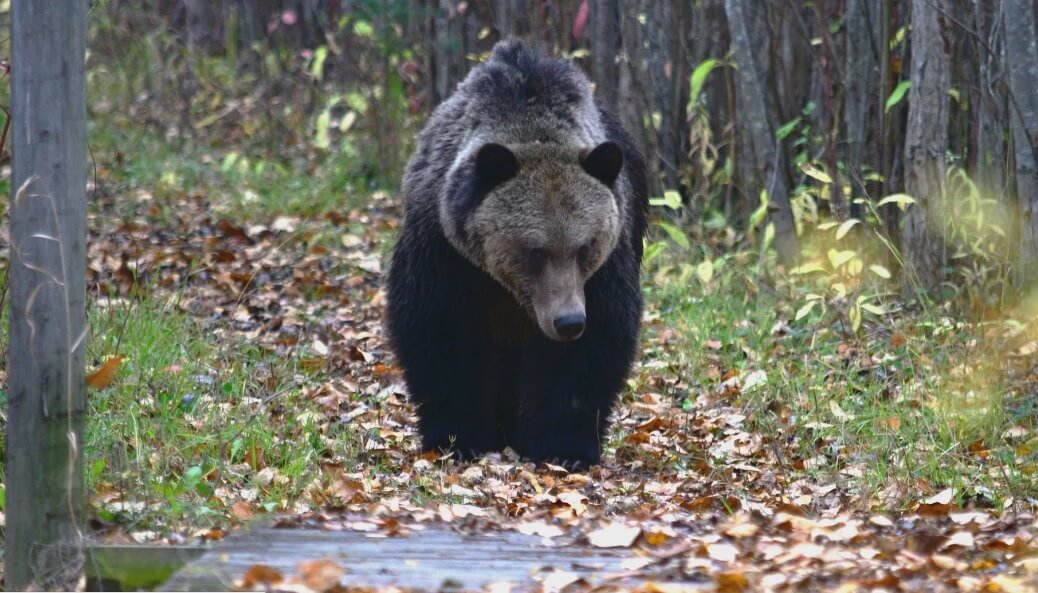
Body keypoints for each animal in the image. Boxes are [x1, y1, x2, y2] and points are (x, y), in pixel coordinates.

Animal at [388, 40, 647, 469]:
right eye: (535, 251)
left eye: (585, 246)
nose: (568, 321)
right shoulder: (444, 251)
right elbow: (442, 332)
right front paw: (458, 437)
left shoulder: (604, 270)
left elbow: (591, 349)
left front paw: (565, 446)